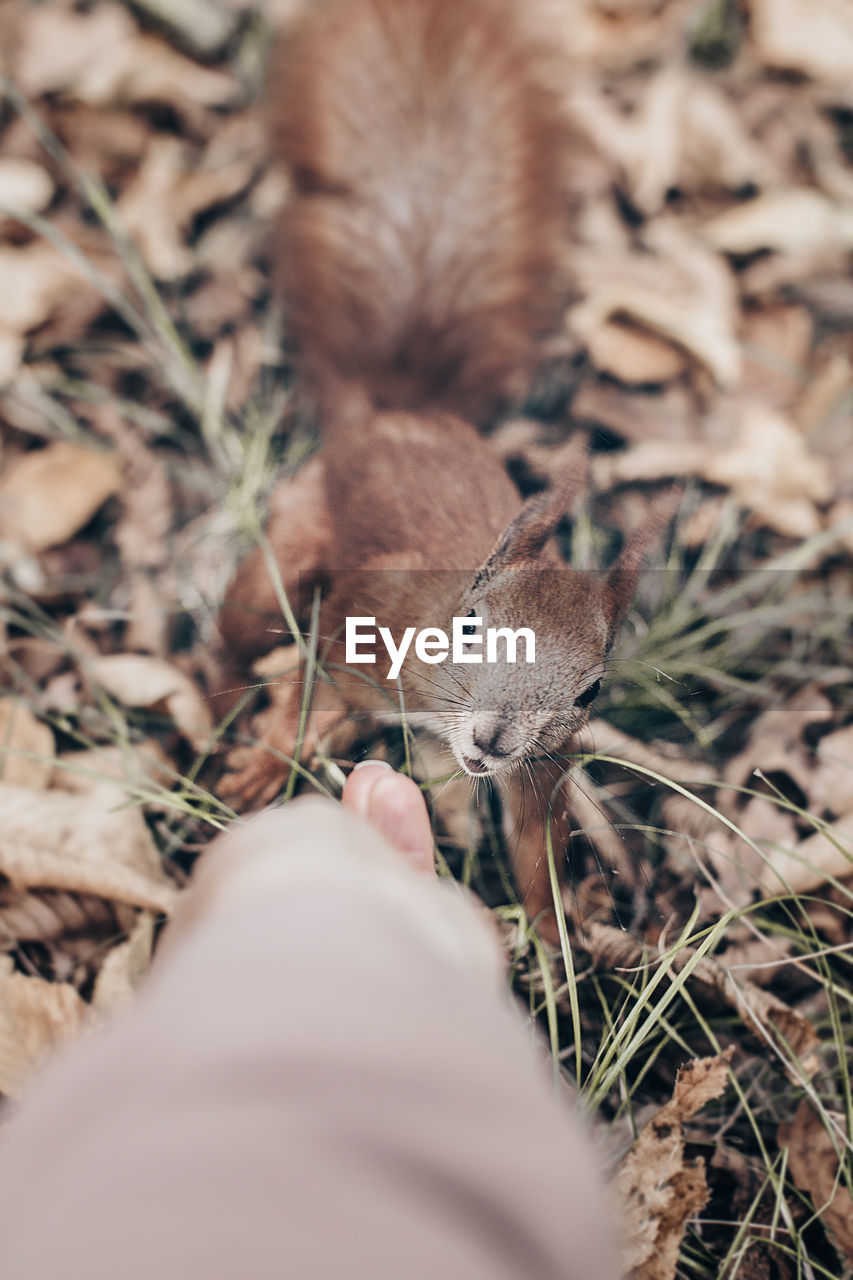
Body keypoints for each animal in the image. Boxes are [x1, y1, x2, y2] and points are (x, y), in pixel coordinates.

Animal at [216, 0, 653, 942]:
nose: (490, 741)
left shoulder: (542, 765)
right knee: (239, 628)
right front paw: (273, 753)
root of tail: (396, 413)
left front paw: (556, 941)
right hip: (292, 536)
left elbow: (534, 841)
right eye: (468, 626)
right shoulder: (360, 626)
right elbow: (311, 682)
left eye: (591, 689)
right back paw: (228, 693)